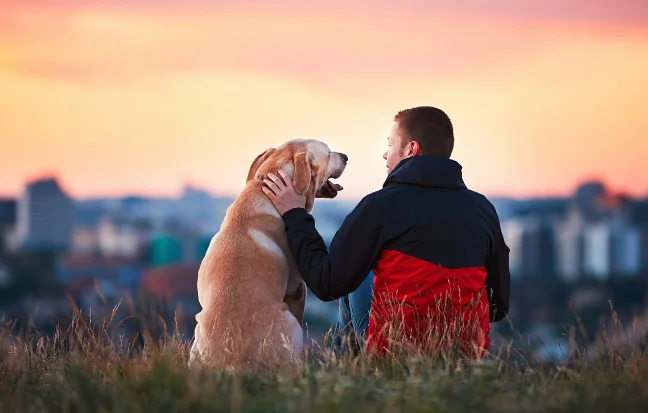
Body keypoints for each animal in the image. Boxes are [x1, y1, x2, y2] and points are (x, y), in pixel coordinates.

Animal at [189, 138, 346, 370]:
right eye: (328, 153)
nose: (346, 157)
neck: (263, 192)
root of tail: (233, 364)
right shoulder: (297, 288)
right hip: (289, 322)